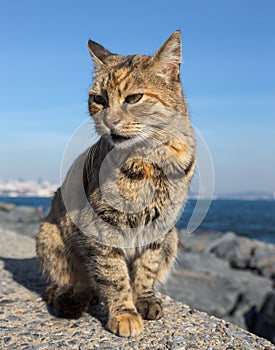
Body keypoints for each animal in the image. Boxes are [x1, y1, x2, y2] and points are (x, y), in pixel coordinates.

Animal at [36, 31, 196, 338]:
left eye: (134, 98)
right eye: (98, 99)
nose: (108, 121)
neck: (150, 160)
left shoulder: (161, 227)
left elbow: (147, 267)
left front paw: (143, 298)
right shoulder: (99, 226)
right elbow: (113, 274)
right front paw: (124, 312)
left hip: (173, 237)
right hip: (49, 235)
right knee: (66, 282)